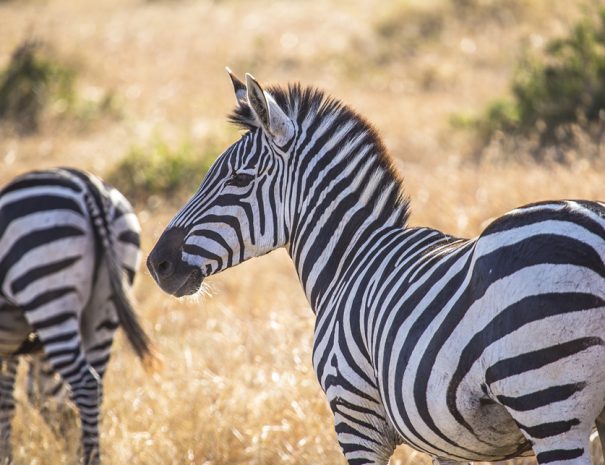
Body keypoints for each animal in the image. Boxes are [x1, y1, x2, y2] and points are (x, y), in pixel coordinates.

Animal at [0, 168, 153, 464]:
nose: (69, 445)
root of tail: (89, 187)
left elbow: (7, 401)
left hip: (48, 289)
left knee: (85, 384)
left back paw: (89, 456)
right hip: (104, 306)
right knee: (92, 386)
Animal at [147, 70, 605, 464]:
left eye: (239, 179)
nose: (157, 264)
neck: (349, 259)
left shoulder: (355, 418)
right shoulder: (447, 442)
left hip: (547, 401)